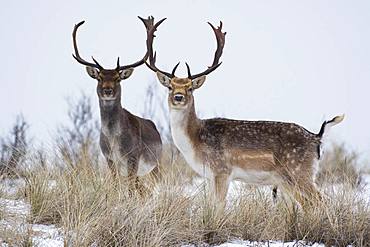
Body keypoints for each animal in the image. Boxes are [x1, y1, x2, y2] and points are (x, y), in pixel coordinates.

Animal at [73, 16, 163, 192]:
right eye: (99, 77)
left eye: (117, 78)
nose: (107, 90)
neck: (114, 140)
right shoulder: (109, 159)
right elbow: (115, 185)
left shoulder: (133, 157)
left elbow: (130, 189)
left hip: (156, 164)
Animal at [145, 18, 344, 206]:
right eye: (170, 86)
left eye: (190, 88)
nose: (178, 97)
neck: (195, 142)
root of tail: (317, 137)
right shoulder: (209, 176)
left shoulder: (222, 170)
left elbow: (218, 207)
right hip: (289, 179)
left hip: (299, 171)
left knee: (320, 201)